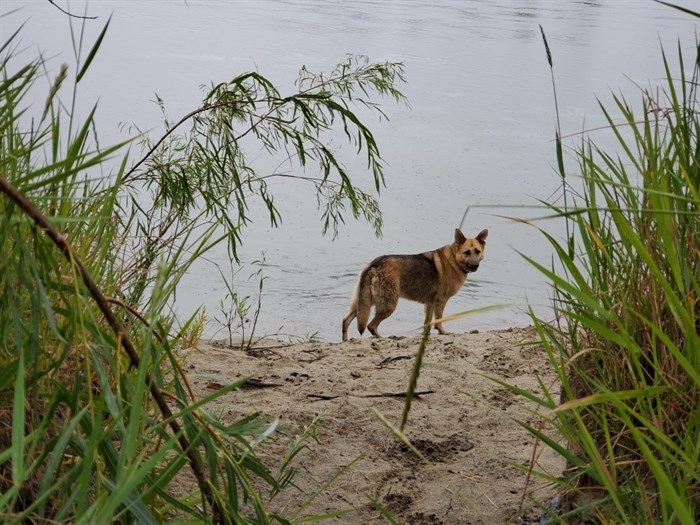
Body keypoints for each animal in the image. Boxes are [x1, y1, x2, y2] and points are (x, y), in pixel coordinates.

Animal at [344, 228, 486, 340]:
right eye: (467, 252)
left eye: (477, 251)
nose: (475, 266)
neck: (454, 259)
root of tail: (375, 263)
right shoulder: (441, 301)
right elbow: (438, 321)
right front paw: (443, 333)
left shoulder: (430, 303)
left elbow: (427, 323)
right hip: (388, 305)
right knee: (371, 326)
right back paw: (383, 338)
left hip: (364, 303)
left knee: (346, 321)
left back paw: (346, 340)